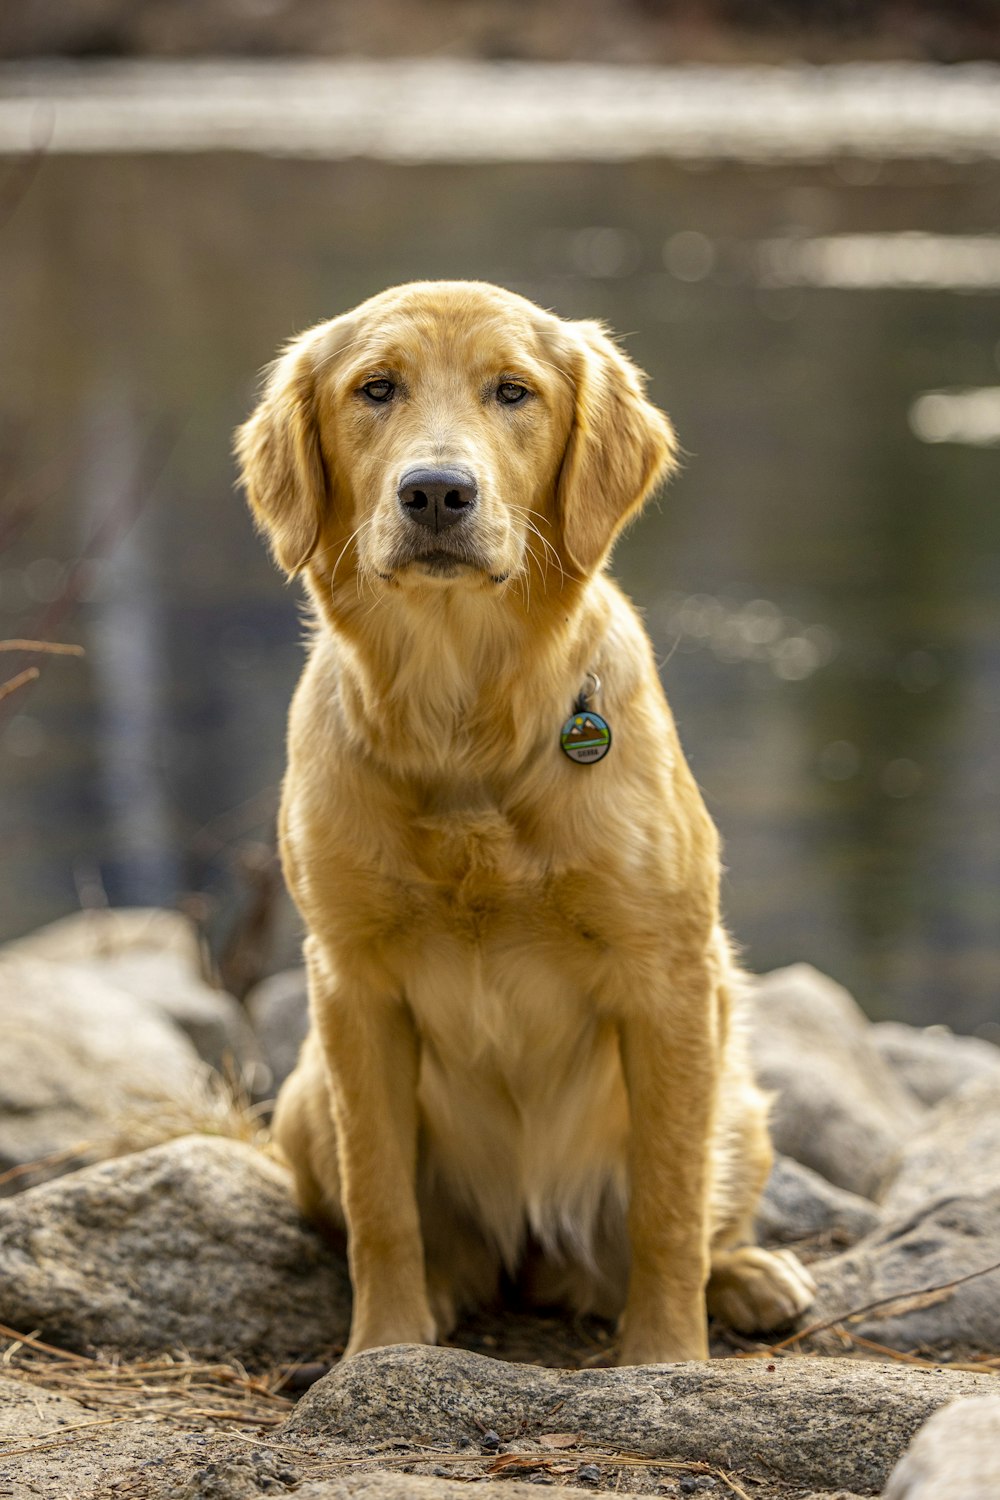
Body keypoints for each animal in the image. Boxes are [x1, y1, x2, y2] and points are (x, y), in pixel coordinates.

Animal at [235, 276, 815, 1368]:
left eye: (513, 391)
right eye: (376, 388)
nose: (435, 493)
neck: (461, 726)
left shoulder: (669, 978)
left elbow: (669, 1203)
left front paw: (666, 1362)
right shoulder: (352, 988)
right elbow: (381, 1205)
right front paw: (381, 1352)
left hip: (741, 1088)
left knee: (695, 1213)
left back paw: (749, 1276)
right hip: (301, 1101)